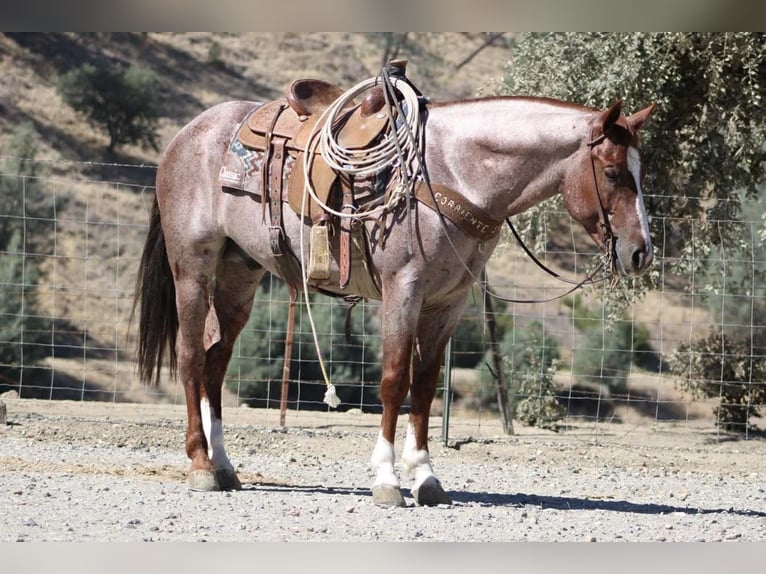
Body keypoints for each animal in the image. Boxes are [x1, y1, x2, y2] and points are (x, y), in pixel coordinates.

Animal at [133, 79, 655, 507]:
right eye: (612, 172)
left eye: (641, 171)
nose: (640, 252)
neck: (452, 170)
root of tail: (186, 135)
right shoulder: (403, 289)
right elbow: (392, 381)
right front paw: (386, 479)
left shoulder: (448, 302)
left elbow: (423, 386)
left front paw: (425, 478)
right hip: (193, 268)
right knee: (190, 357)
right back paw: (201, 465)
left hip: (239, 274)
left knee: (216, 361)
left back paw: (225, 466)